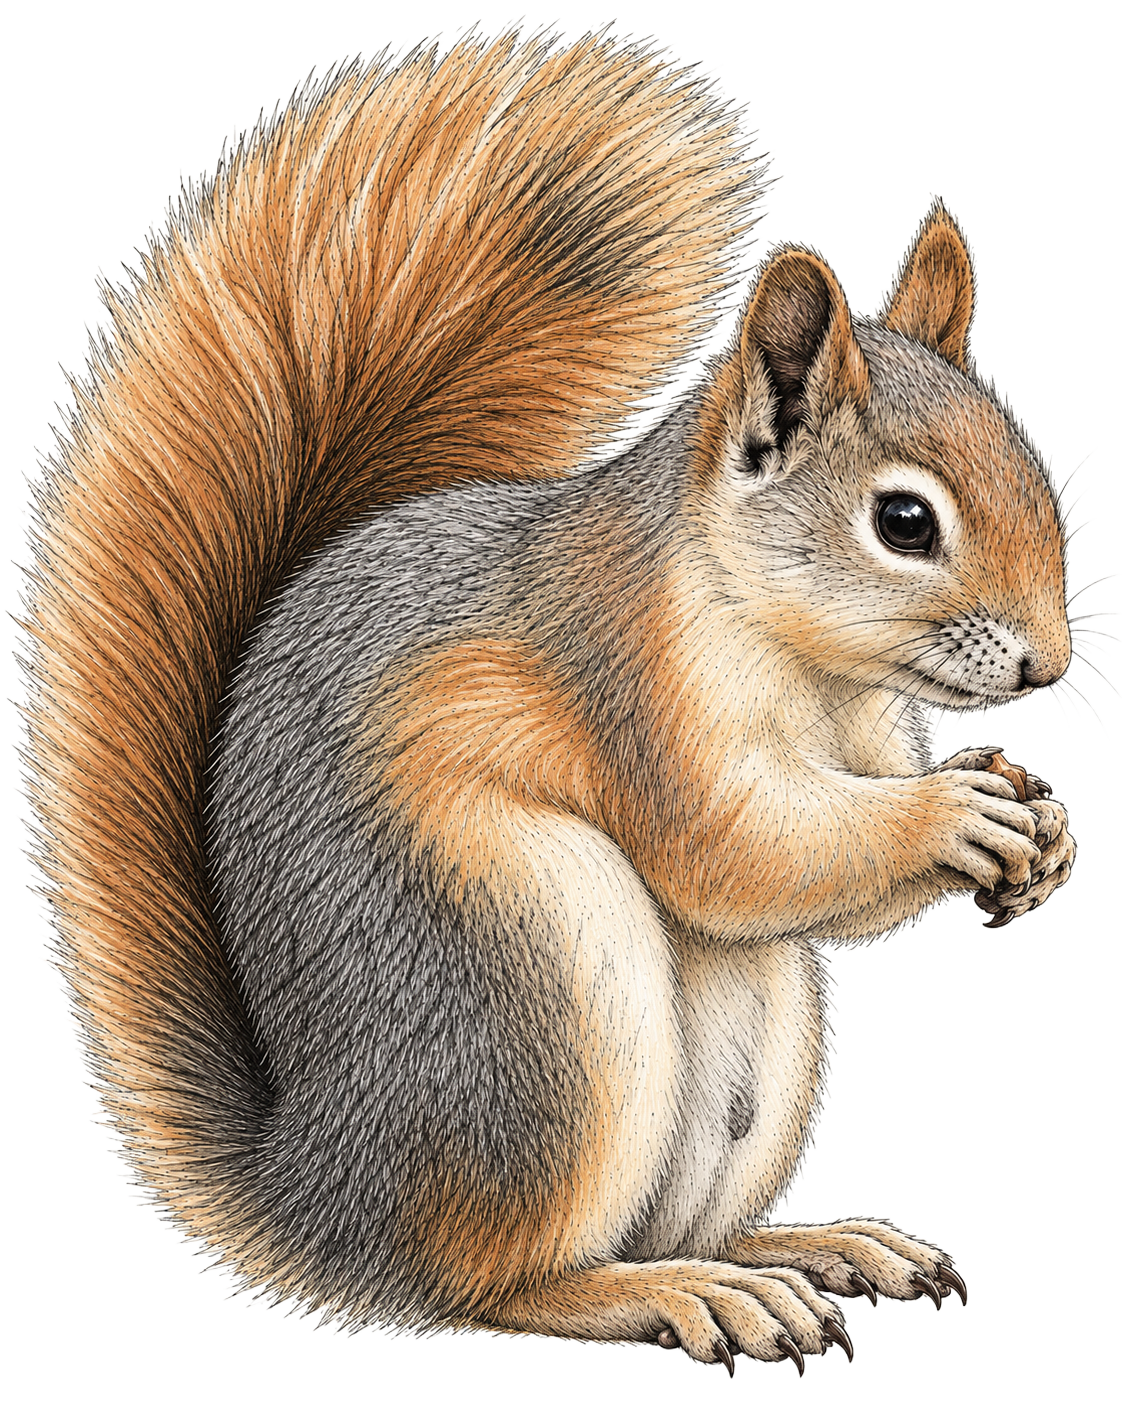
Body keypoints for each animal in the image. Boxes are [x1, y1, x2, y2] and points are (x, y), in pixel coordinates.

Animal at [22, 29, 1077, 1375]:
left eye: (1034, 471)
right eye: (905, 521)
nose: (1050, 664)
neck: (806, 662)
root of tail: (323, 1194)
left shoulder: (866, 732)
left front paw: (1041, 825)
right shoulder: (627, 676)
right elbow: (734, 849)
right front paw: (957, 815)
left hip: (747, 1042)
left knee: (667, 1219)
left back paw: (810, 1246)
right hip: (541, 980)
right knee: (497, 1279)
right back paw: (680, 1293)